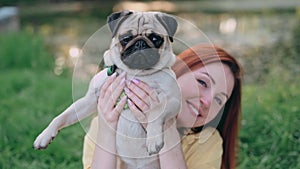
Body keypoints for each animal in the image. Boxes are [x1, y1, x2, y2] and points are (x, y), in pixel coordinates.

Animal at [34, 10, 182, 168]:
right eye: (126, 39)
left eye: (155, 39)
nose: (140, 43)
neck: (134, 73)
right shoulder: (90, 100)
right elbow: (62, 116)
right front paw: (45, 135)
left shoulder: (173, 99)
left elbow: (156, 111)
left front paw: (153, 140)